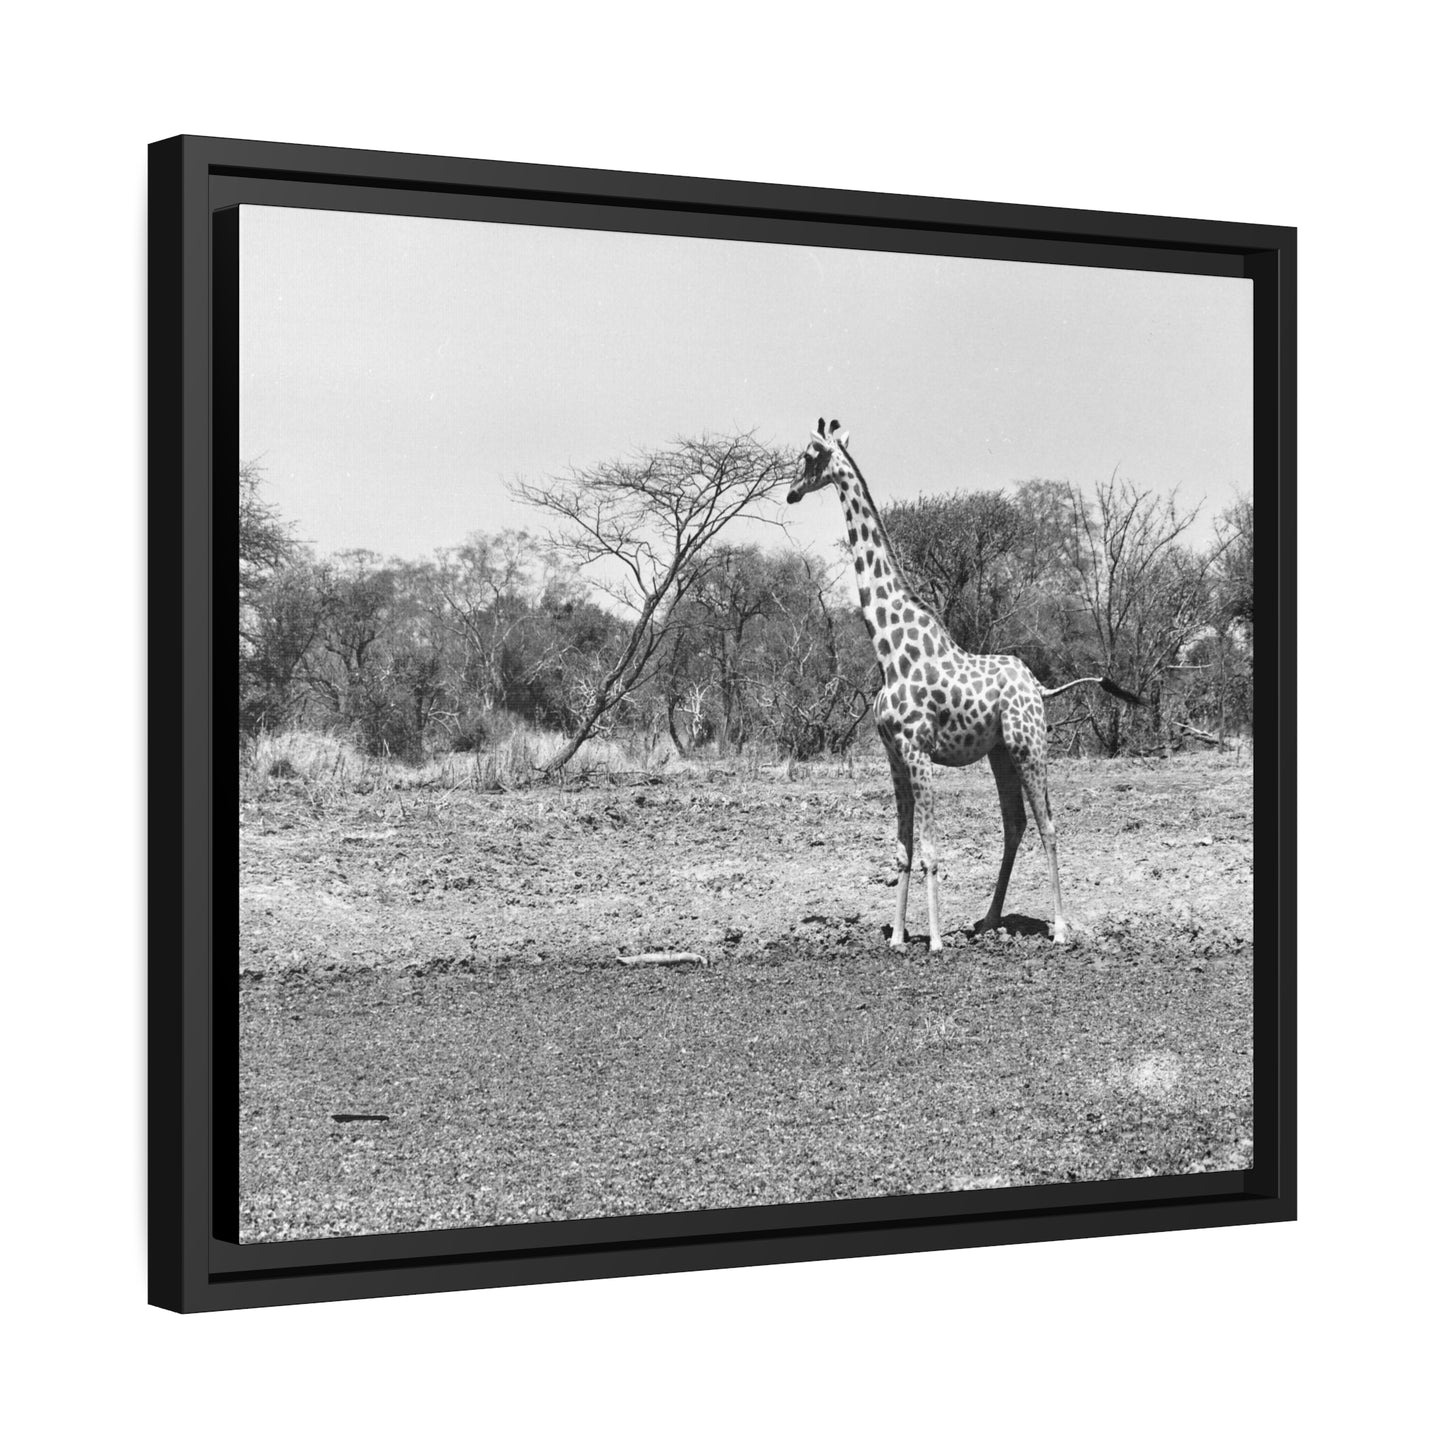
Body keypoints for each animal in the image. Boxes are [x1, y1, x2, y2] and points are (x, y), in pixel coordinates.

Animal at [786, 420, 1141, 951]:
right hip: (1000, 752)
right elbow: (902, 850)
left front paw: (933, 941)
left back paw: (1059, 928)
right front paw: (897, 938)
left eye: (810, 455)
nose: (791, 492)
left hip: (1029, 745)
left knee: (1049, 824)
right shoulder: (894, 757)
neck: (889, 652)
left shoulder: (918, 753)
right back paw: (989, 920)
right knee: (1014, 823)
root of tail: (1040, 689)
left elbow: (931, 850)